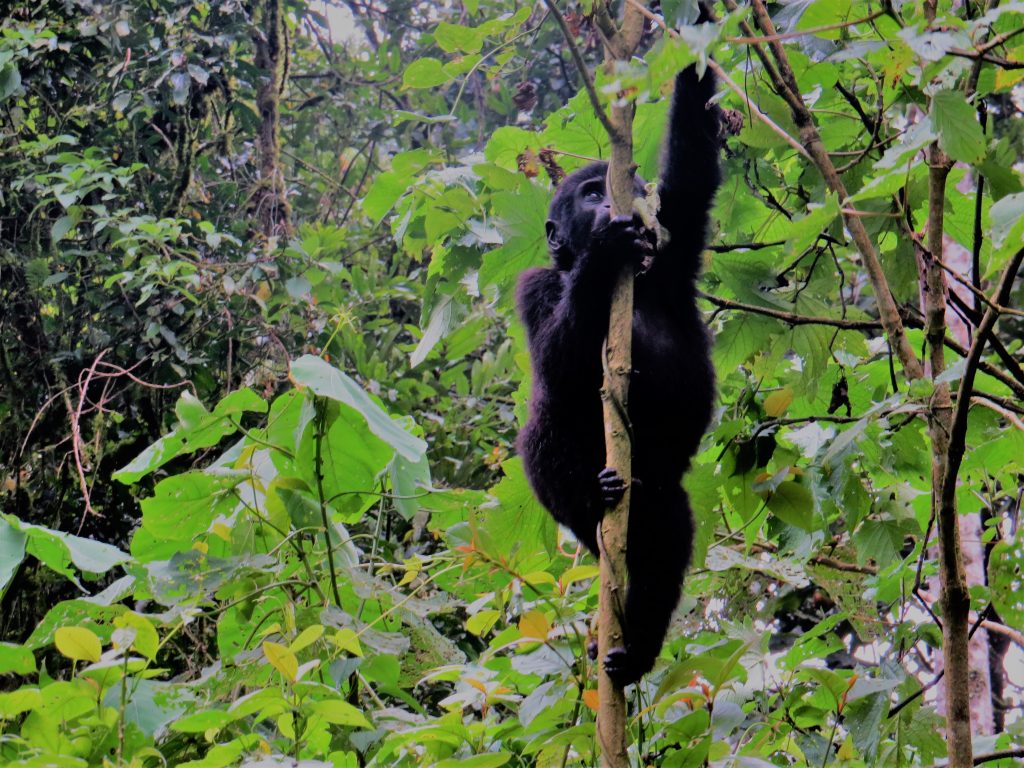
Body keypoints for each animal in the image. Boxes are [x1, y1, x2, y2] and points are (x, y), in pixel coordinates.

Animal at [512, 66, 720, 688]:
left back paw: (638, 648)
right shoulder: (534, 285)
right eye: (588, 194)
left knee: (665, 541)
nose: (609, 203)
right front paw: (602, 253)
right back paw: (590, 498)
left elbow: (692, 166)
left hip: (658, 488)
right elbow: (555, 364)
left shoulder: (671, 233)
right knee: (542, 434)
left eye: (610, 187)